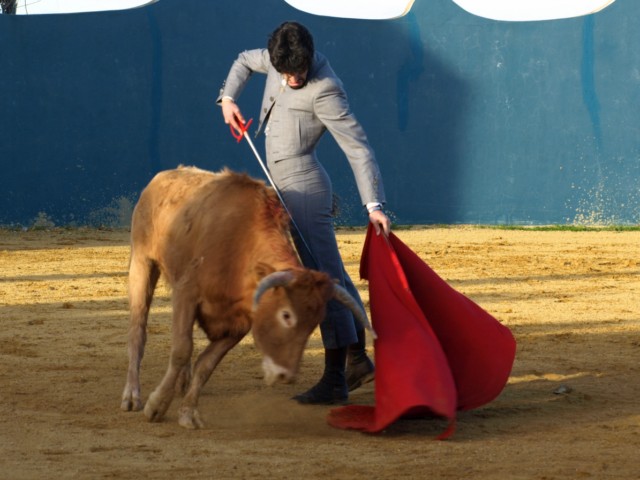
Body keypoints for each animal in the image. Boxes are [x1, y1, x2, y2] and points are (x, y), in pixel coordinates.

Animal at [120, 168, 376, 428]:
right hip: (141, 262)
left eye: (313, 325)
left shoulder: (239, 322)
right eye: (286, 315)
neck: (240, 246)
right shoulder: (187, 293)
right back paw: (132, 395)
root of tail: (164, 175)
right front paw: (157, 406)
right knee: (137, 332)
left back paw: (181, 383)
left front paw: (188, 411)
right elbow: (182, 349)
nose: (285, 375)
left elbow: (206, 364)